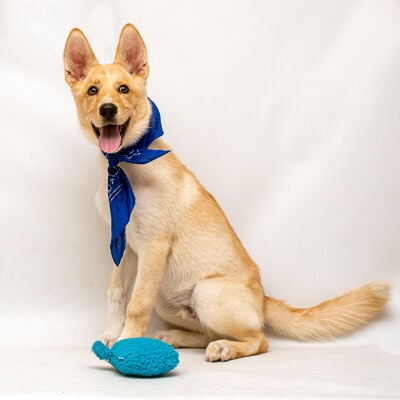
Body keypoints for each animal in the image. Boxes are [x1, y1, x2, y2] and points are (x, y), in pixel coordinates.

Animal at [63, 24, 390, 362]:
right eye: (93, 91)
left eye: (124, 89)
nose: (108, 110)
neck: (125, 164)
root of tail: (263, 299)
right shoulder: (122, 243)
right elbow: (116, 292)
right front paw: (110, 335)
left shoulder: (153, 247)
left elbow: (137, 303)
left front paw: (126, 344)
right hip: (169, 300)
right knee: (209, 331)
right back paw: (176, 336)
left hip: (206, 291)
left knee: (260, 340)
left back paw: (225, 347)